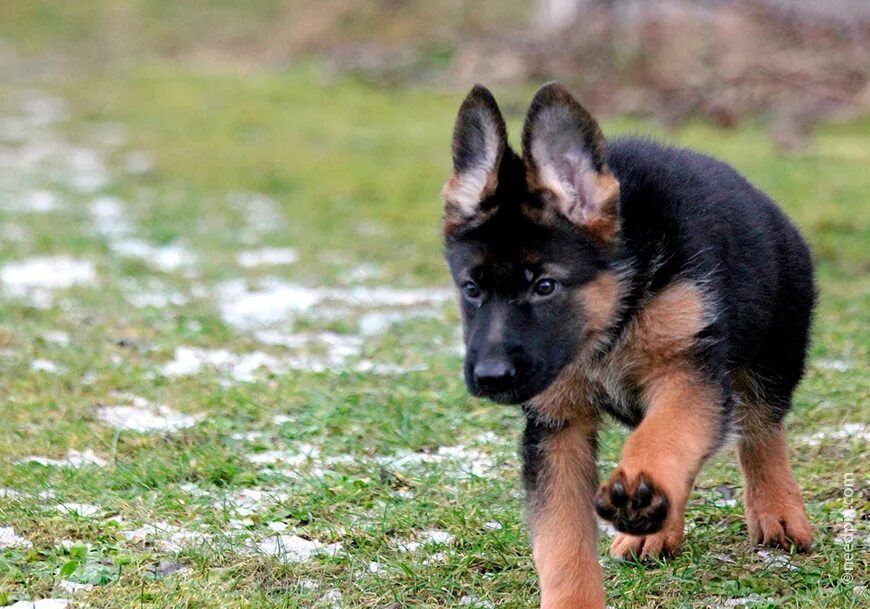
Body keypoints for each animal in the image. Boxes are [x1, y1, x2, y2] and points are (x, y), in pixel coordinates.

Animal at [442, 83, 816, 604]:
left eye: (545, 286)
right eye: (472, 289)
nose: (490, 378)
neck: (616, 314)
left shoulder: (688, 372)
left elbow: (664, 434)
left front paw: (643, 481)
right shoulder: (557, 426)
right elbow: (561, 543)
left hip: (772, 358)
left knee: (761, 430)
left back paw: (776, 511)